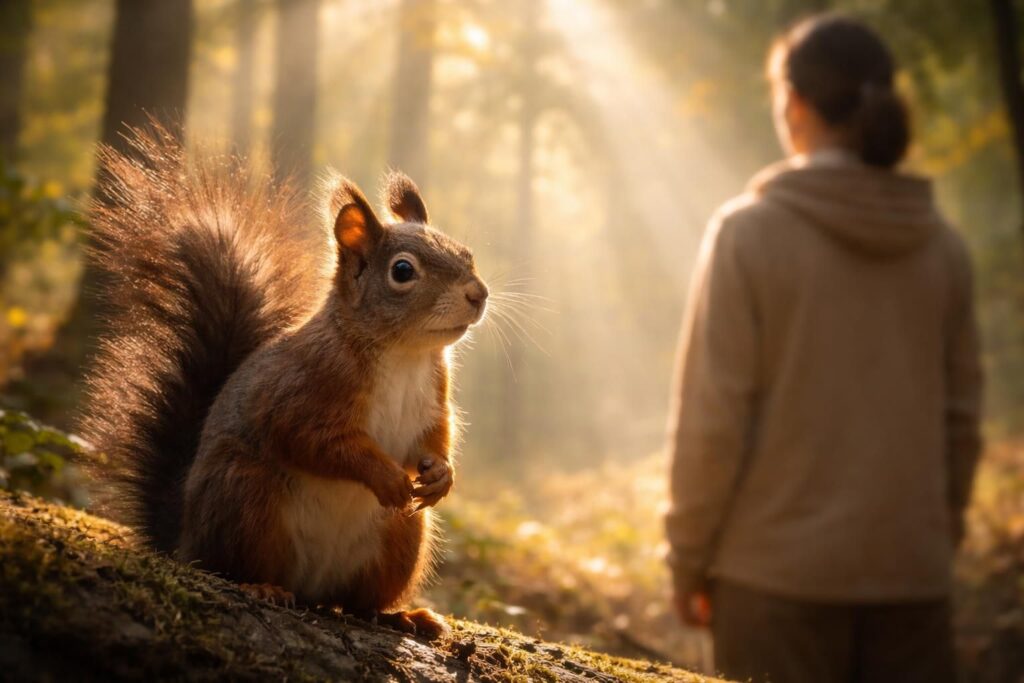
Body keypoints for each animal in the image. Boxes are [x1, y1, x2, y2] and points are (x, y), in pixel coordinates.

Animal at [80, 127, 488, 639]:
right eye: (402, 271)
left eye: (466, 254)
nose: (479, 294)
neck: (404, 355)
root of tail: (186, 539)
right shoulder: (302, 388)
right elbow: (316, 441)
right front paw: (387, 476)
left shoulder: (435, 400)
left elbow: (435, 439)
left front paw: (440, 475)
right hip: (245, 495)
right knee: (231, 566)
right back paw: (262, 587)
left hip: (400, 537)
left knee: (357, 603)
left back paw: (399, 615)